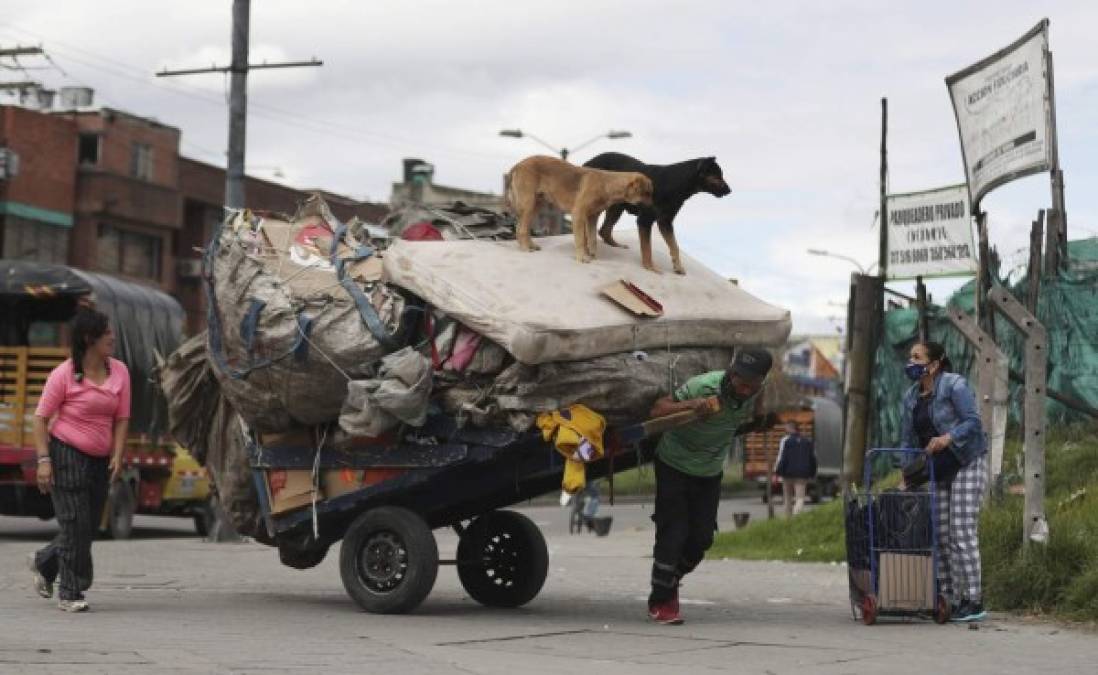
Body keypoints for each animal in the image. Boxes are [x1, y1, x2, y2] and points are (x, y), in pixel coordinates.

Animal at [505, 155, 650, 264]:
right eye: (646, 193)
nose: (651, 209)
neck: (606, 184)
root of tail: (518, 165)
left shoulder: (592, 217)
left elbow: (591, 239)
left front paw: (592, 255)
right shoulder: (579, 214)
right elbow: (581, 240)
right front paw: (582, 257)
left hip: (537, 204)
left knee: (522, 227)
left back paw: (530, 245)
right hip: (528, 203)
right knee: (521, 229)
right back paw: (525, 248)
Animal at [584, 153, 729, 274]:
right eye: (718, 175)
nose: (730, 191)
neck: (678, 183)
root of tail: (589, 161)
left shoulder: (665, 222)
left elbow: (674, 245)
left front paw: (678, 266)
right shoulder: (645, 220)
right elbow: (647, 247)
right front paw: (650, 266)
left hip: (616, 207)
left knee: (604, 230)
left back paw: (614, 244)